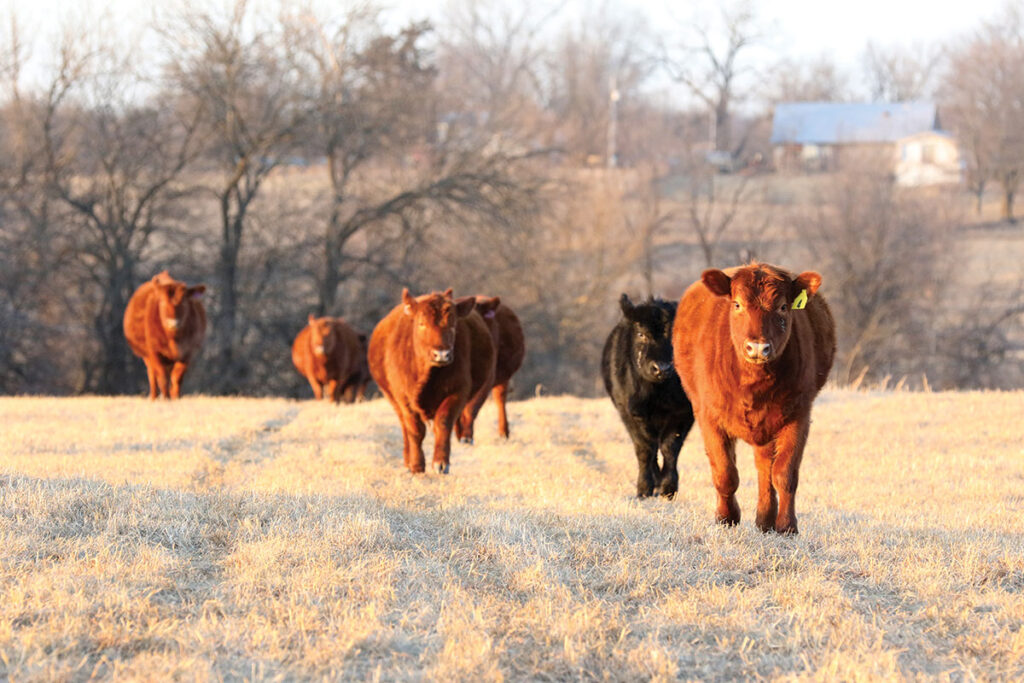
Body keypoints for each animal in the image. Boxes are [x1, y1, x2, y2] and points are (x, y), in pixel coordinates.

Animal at [123, 270, 207, 401]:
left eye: (184, 302)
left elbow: (177, 377)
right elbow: (162, 377)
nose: (173, 323)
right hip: (147, 356)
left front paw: (175, 397)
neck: (174, 339)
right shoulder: (155, 352)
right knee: (152, 375)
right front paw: (166, 398)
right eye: (162, 302)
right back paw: (154, 396)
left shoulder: (188, 352)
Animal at [368, 288, 495, 475]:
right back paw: (407, 460)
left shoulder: (458, 391)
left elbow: (443, 423)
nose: (441, 354)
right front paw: (416, 465)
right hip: (393, 399)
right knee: (405, 428)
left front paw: (441, 463)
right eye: (422, 323)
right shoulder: (403, 398)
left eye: (453, 324)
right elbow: (414, 430)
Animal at [454, 296, 524, 440]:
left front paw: (466, 437)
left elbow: (471, 408)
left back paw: (504, 432)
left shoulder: (488, 378)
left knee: (500, 398)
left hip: (501, 377)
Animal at [598, 292, 696, 497]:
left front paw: (668, 487)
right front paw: (644, 488)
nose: (662, 368)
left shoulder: (684, 412)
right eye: (641, 334)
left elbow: (670, 447)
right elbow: (645, 448)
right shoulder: (631, 412)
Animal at [675, 264, 835, 536]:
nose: (758, 348)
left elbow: (784, 474)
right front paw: (726, 518)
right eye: (737, 304)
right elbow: (725, 473)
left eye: (783, 306)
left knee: (765, 469)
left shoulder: (799, 415)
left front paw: (787, 526)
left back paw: (765, 519)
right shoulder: (709, 417)